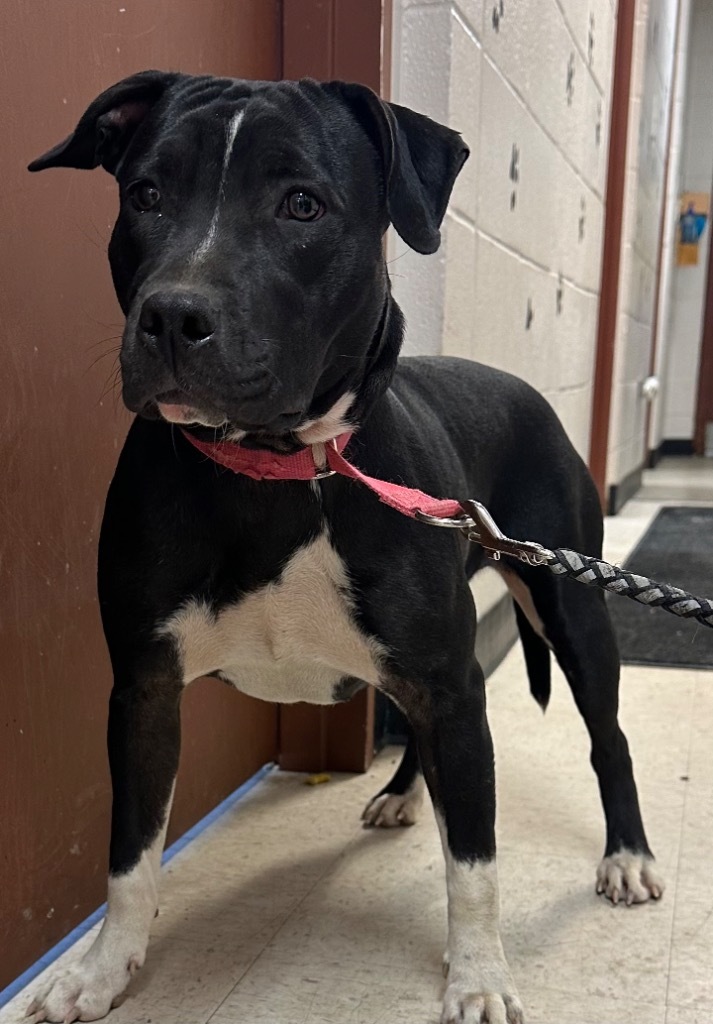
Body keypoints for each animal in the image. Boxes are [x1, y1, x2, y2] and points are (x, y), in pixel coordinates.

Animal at [27, 74, 663, 1024]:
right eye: (144, 195)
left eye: (302, 204)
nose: (172, 314)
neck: (275, 471)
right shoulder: (144, 689)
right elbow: (130, 857)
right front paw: (102, 970)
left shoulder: (449, 682)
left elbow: (474, 865)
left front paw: (478, 976)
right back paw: (404, 797)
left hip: (571, 606)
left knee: (607, 738)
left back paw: (626, 855)